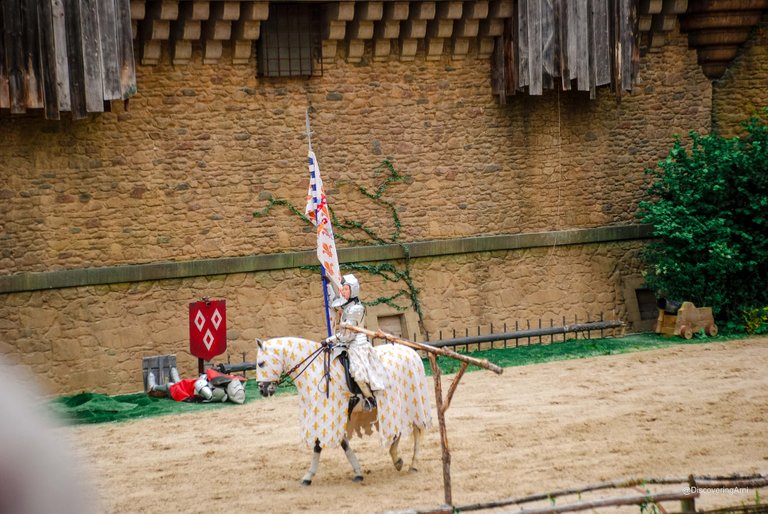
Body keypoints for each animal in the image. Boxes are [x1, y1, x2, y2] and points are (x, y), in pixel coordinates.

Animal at [254, 336, 428, 484]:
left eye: (261, 363)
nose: (262, 390)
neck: (315, 371)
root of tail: (411, 352)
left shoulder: (327, 413)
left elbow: (318, 444)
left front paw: (308, 476)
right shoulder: (332, 416)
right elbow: (344, 444)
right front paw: (358, 472)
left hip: (410, 403)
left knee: (416, 431)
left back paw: (412, 464)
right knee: (399, 430)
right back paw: (397, 459)